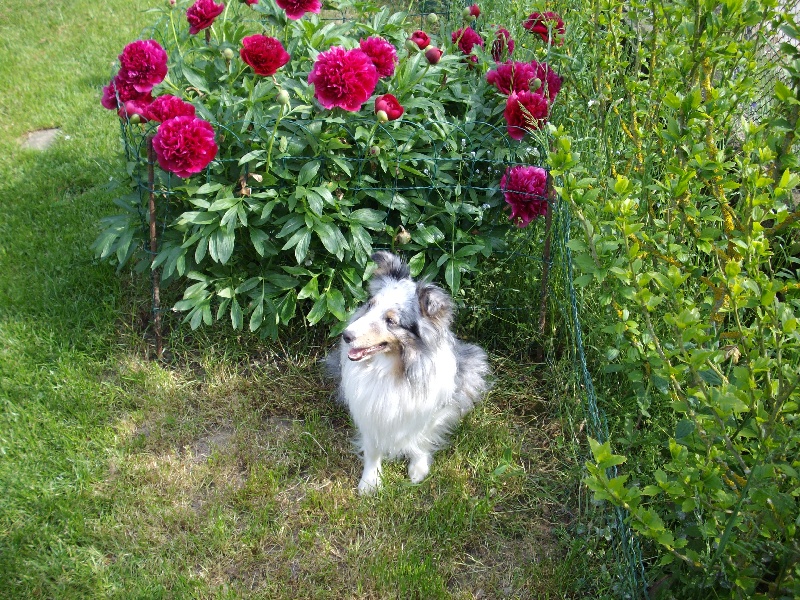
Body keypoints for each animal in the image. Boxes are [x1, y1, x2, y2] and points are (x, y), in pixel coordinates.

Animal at [328, 251, 490, 494]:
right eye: (369, 305)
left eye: (391, 321)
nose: (346, 336)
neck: (391, 368)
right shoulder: (368, 408)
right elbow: (372, 447)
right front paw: (370, 481)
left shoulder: (430, 408)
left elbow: (420, 438)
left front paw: (418, 469)